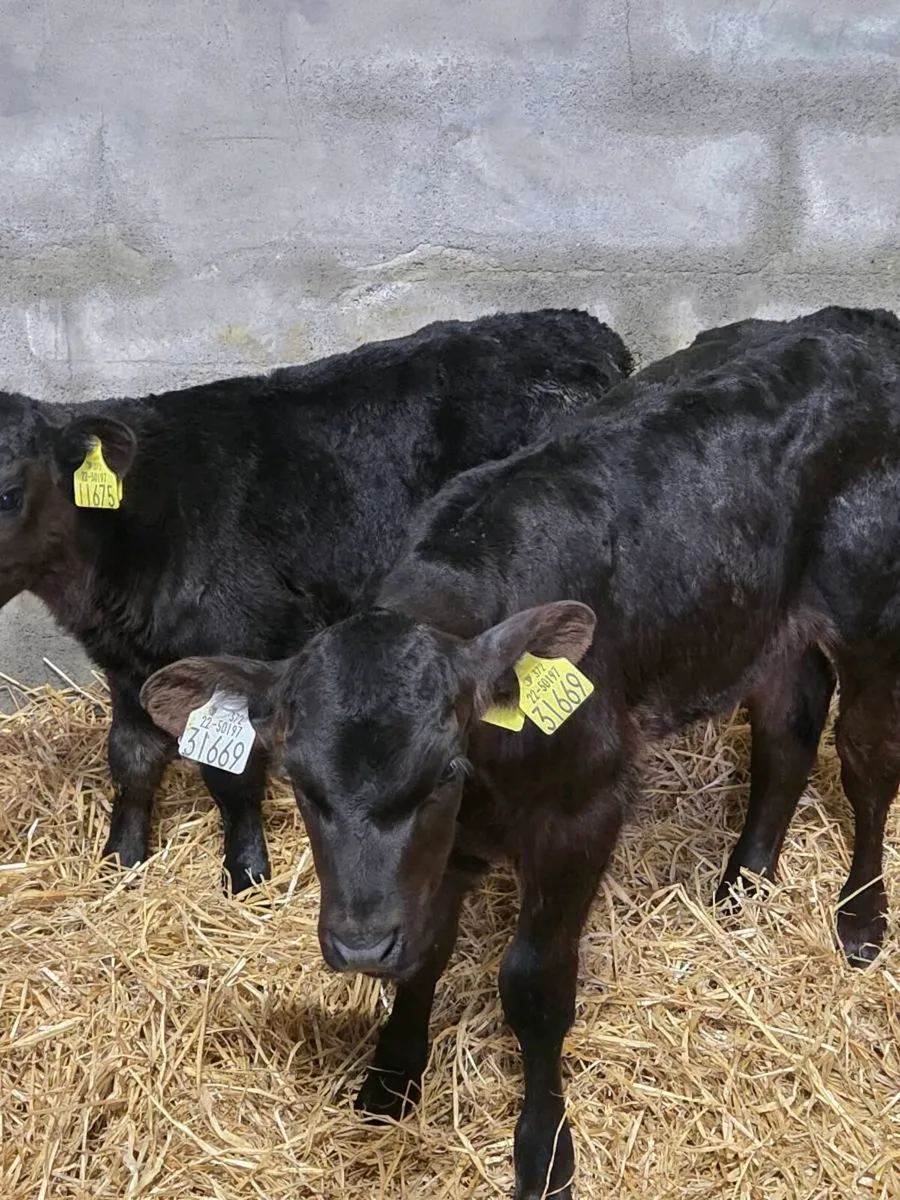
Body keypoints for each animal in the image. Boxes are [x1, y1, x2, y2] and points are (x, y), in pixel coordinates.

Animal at [0, 308, 632, 893]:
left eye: (8, 493)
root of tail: (582, 328)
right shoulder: (124, 665)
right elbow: (130, 757)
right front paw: (122, 857)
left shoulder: (232, 645)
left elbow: (230, 776)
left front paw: (246, 872)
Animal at [139, 306, 900, 1198]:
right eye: (297, 780)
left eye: (441, 773)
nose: (358, 946)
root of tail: (859, 323)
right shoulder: (444, 854)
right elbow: (425, 950)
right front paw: (390, 1077)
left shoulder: (582, 813)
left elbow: (533, 984)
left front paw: (544, 1151)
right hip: (759, 620)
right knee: (787, 731)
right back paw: (743, 886)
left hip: (874, 611)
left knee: (867, 759)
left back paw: (860, 917)